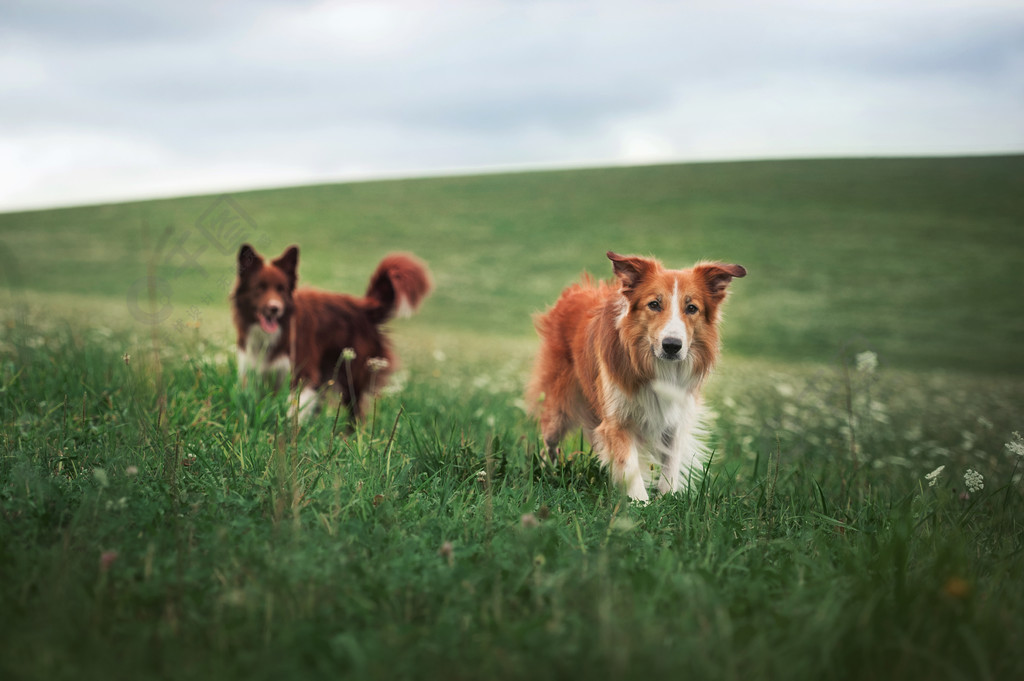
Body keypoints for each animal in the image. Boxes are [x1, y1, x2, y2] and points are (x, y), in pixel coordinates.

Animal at [233, 244, 432, 426]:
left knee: (356, 413)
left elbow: (294, 410)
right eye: (260, 288)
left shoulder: (303, 372)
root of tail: (364, 307)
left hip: (353, 376)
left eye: (281, 289)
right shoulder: (255, 372)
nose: (275, 308)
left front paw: (288, 433)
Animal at [528, 249, 745, 499]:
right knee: (549, 441)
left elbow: (671, 465)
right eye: (654, 304)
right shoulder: (617, 419)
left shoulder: (676, 416)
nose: (672, 346)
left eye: (692, 308)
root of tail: (573, 291)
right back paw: (548, 473)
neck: (658, 367)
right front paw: (640, 504)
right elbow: (629, 466)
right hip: (558, 405)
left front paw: (667, 499)